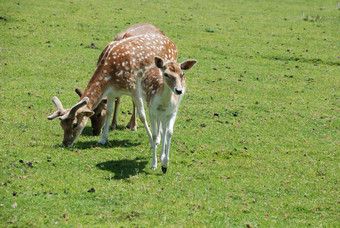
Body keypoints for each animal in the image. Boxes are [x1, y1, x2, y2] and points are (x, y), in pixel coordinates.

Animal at [47, 33, 178, 148]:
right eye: (61, 125)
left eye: (75, 124)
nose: (65, 144)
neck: (109, 75)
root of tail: (173, 43)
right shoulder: (111, 92)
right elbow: (109, 111)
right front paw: (102, 139)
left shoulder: (134, 87)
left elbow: (142, 115)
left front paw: (152, 142)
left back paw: (158, 139)